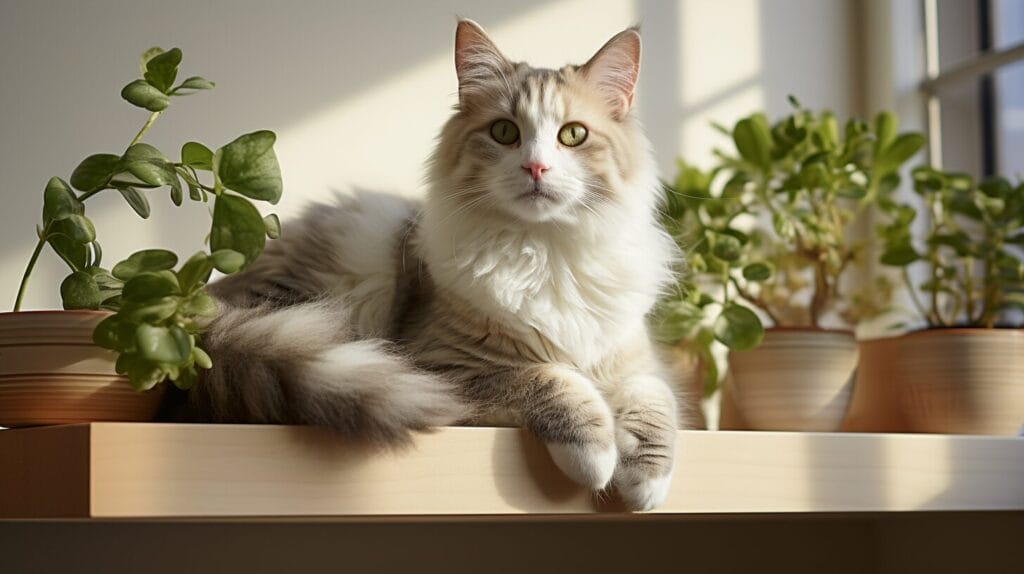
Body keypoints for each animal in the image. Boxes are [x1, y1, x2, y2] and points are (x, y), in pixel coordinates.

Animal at [188, 20, 692, 507]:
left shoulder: (639, 362)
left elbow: (655, 399)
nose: (536, 169)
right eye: (505, 132)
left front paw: (645, 482)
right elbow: (554, 379)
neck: (546, 252)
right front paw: (595, 455)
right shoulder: (446, 365)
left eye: (573, 135)